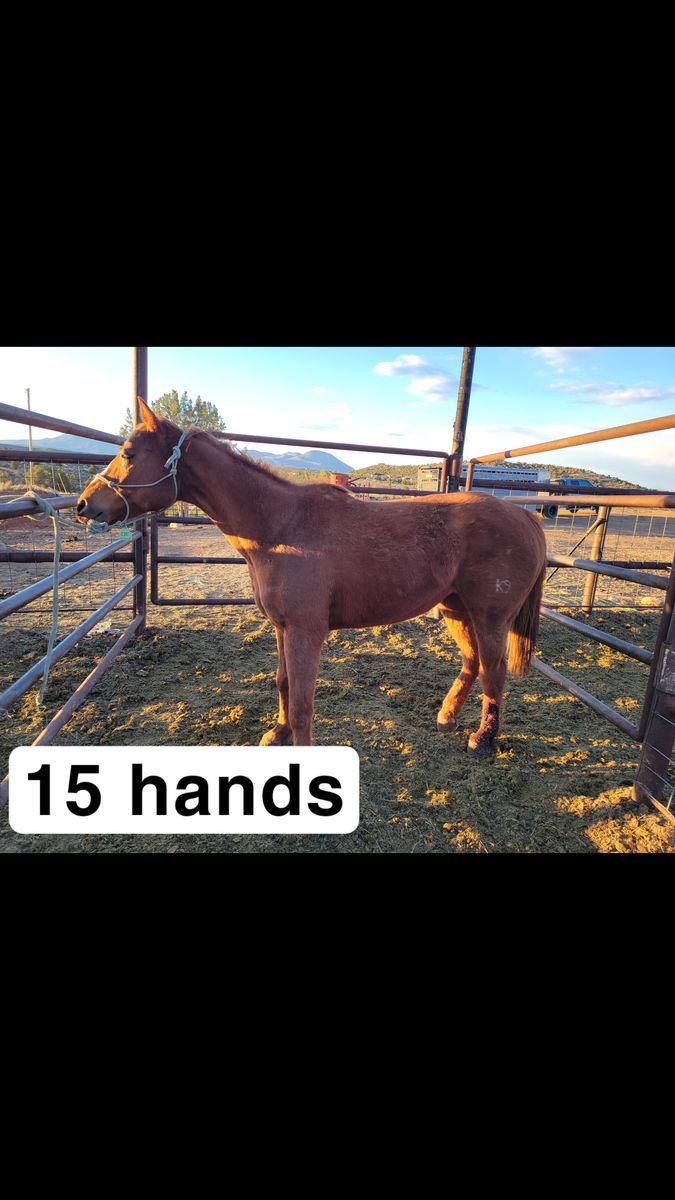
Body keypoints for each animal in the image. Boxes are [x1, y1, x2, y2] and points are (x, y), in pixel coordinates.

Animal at [76, 398, 548, 754]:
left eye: (128, 453)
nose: (83, 506)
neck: (281, 526)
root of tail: (523, 514)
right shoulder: (283, 627)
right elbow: (284, 684)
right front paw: (278, 732)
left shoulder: (306, 631)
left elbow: (303, 702)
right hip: (455, 609)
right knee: (472, 663)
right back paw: (447, 717)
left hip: (489, 617)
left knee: (494, 671)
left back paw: (483, 739)